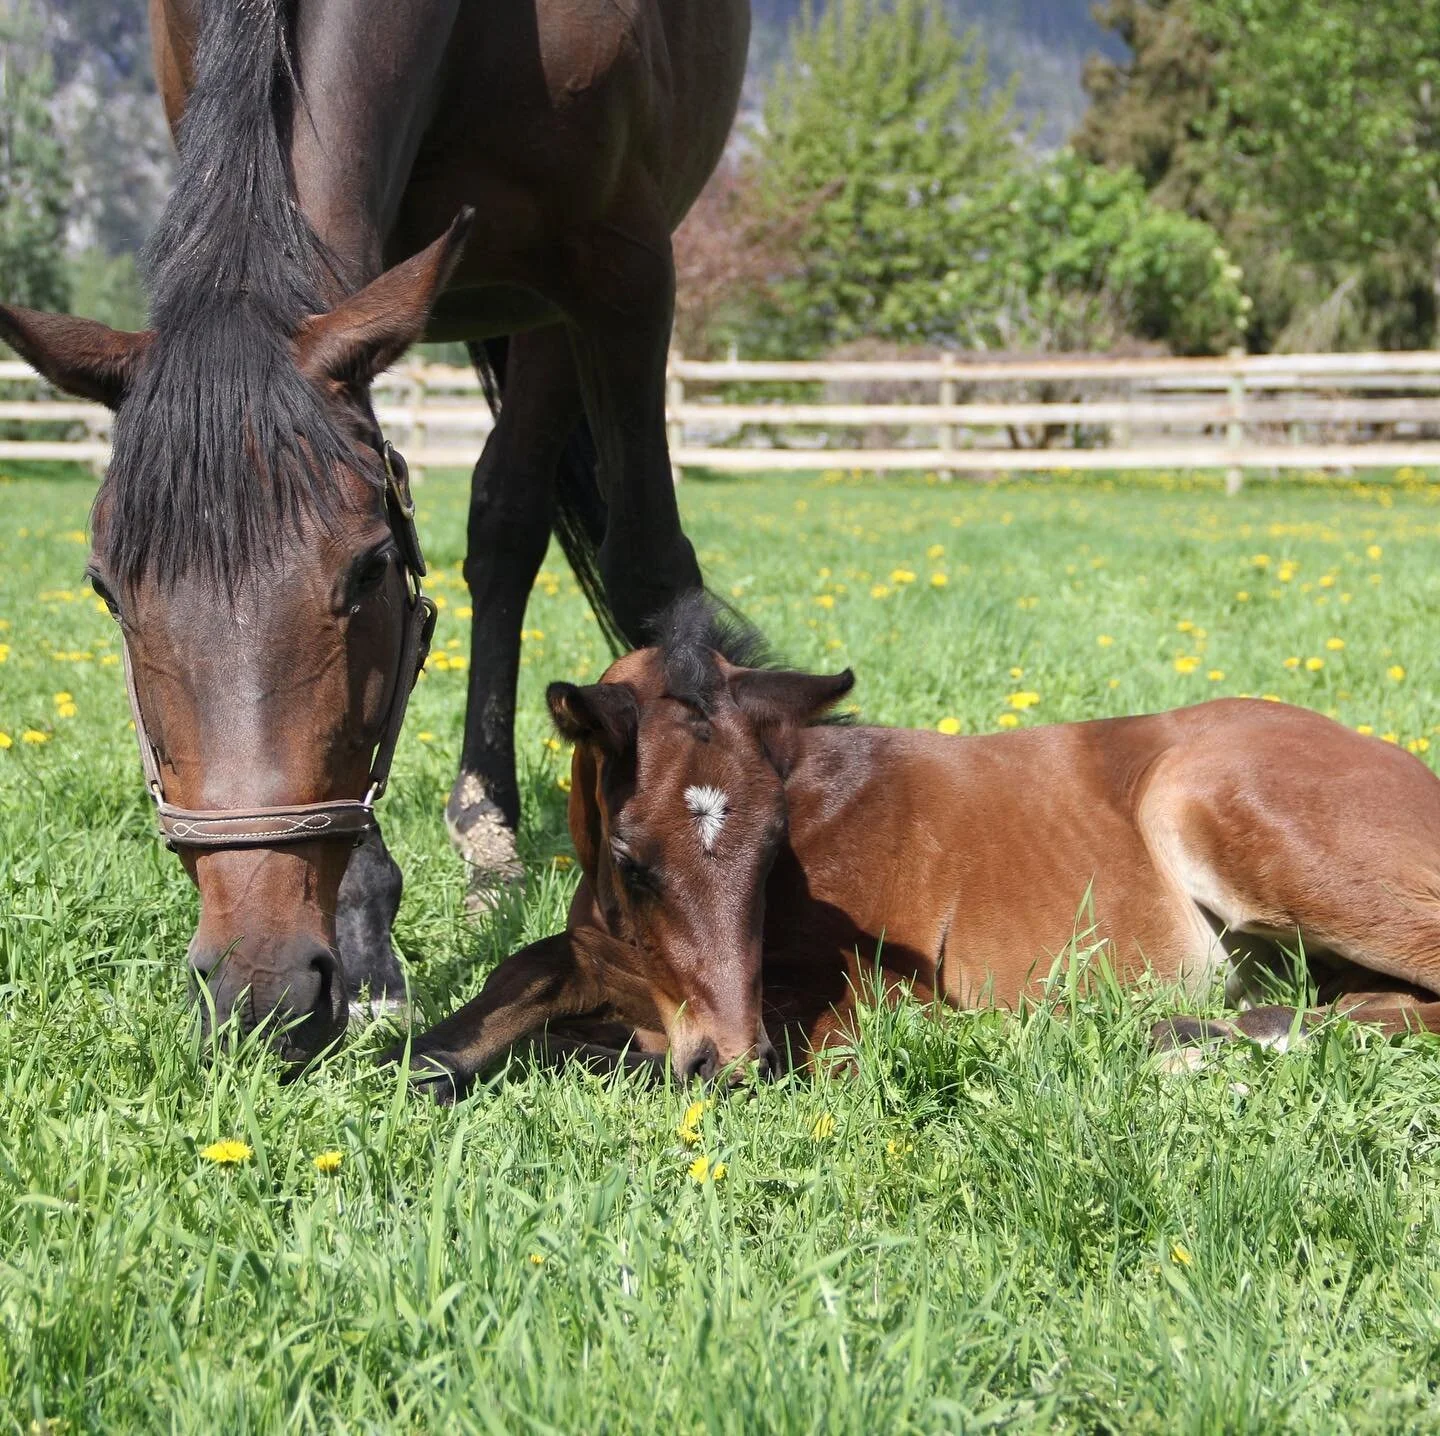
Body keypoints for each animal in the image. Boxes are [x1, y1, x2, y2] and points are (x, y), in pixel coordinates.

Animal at [0, 0, 748, 1060]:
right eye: (108, 591)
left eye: (370, 570)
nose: (260, 989)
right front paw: (365, 947)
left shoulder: (622, 263)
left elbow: (647, 560)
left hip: (547, 310)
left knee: (512, 518)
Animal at [396, 594, 1440, 1098]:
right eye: (629, 860)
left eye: (773, 848)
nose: (729, 1067)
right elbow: (513, 985)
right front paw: (399, 1063)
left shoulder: (869, 1009)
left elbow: (586, 1050)